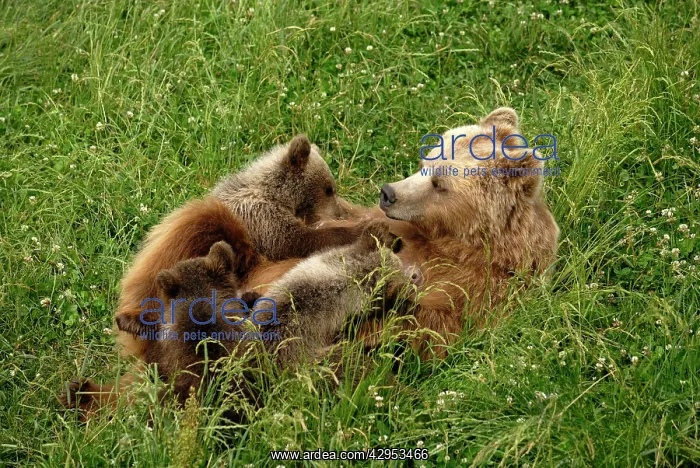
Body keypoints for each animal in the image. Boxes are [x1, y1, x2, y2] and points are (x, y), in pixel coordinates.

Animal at [115, 135, 362, 361]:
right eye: (329, 189)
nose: (339, 213)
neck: (275, 193)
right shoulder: (259, 217)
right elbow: (294, 240)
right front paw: (360, 228)